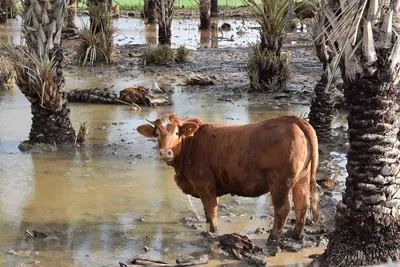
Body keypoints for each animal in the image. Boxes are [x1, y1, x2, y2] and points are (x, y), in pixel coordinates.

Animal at [138, 113, 318, 241]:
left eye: (177, 133)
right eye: (157, 134)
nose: (165, 153)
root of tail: (292, 119)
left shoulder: (205, 185)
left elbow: (211, 211)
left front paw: (213, 231)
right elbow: (207, 212)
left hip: (279, 181)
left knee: (283, 208)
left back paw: (273, 237)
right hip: (302, 178)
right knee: (302, 204)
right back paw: (296, 235)